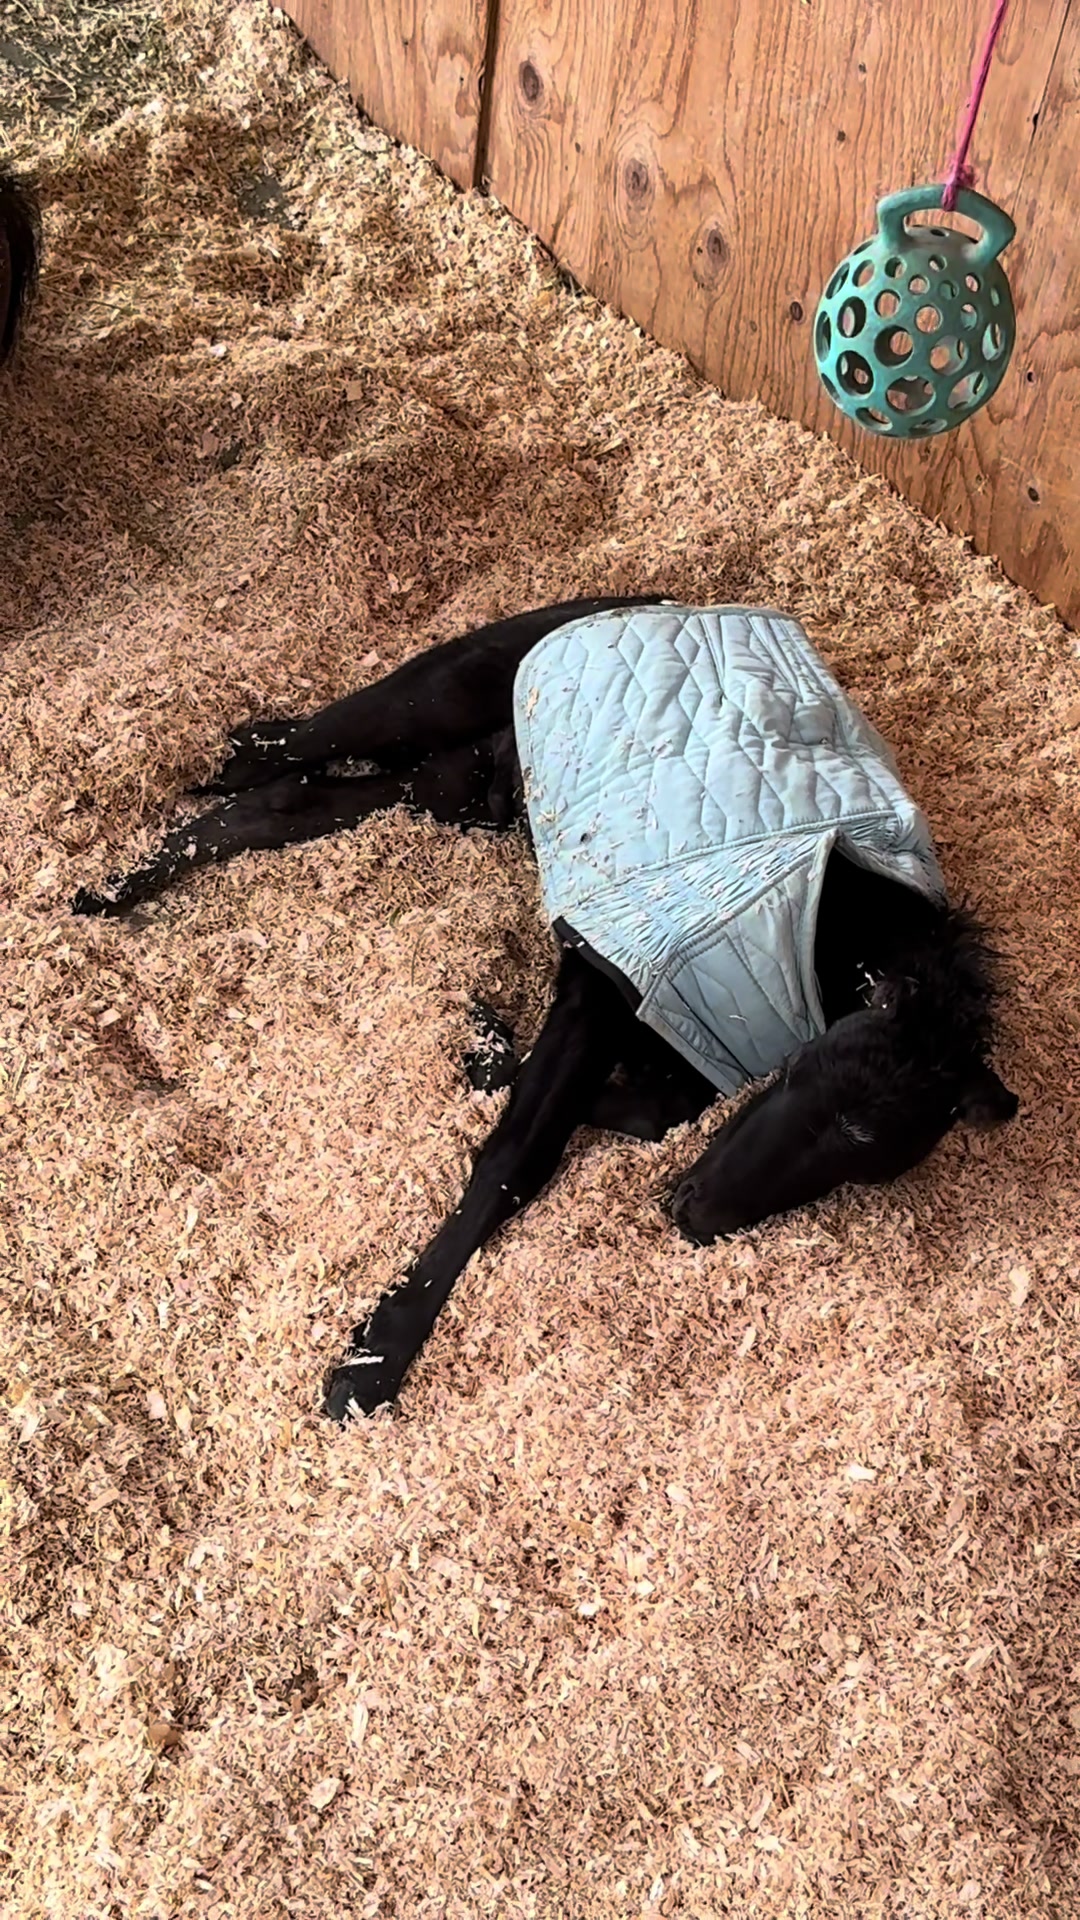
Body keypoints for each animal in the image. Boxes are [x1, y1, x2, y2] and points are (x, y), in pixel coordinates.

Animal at [71, 597, 1019, 1420]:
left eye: (869, 1163)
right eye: (809, 1086)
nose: (694, 1215)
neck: (833, 919)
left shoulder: (696, 1030)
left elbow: (632, 1106)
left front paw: (484, 1044)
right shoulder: (614, 974)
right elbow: (518, 1153)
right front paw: (376, 1357)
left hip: (460, 790)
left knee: (288, 804)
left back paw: (111, 891)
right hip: (432, 702)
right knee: (290, 748)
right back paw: (163, 820)